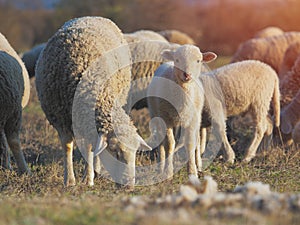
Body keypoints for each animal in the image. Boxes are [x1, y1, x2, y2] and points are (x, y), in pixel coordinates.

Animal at [35, 16, 151, 187]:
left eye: (136, 152)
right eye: (115, 150)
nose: (130, 186)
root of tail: (89, 17)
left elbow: (90, 148)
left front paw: (88, 179)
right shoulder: (60, 118)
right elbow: (68, 146)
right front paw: (70, 181)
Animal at [147, 44, 216, 178]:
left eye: (198, 60)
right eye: (177, 60)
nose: (187, 75)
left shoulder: (193, 120)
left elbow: (190, 143)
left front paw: (193, 172)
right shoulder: (166, 118)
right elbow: (169, 144)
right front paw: (168, 172)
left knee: (197, 140)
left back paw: (199, 164)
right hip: (156, 115)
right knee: (161, 140)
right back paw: (160, 166)